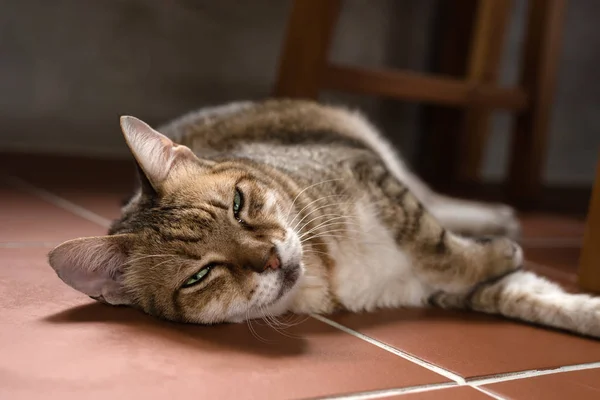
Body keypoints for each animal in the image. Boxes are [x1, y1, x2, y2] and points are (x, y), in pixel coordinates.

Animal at [48, 99, 600, 338]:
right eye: (199, 276)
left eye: (238, 204)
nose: (271, 258)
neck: (329, 269)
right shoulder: (429, 286)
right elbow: (506, 285)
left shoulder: (371, 173)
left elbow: (432, 241)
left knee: (433, 195)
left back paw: (500, 214)